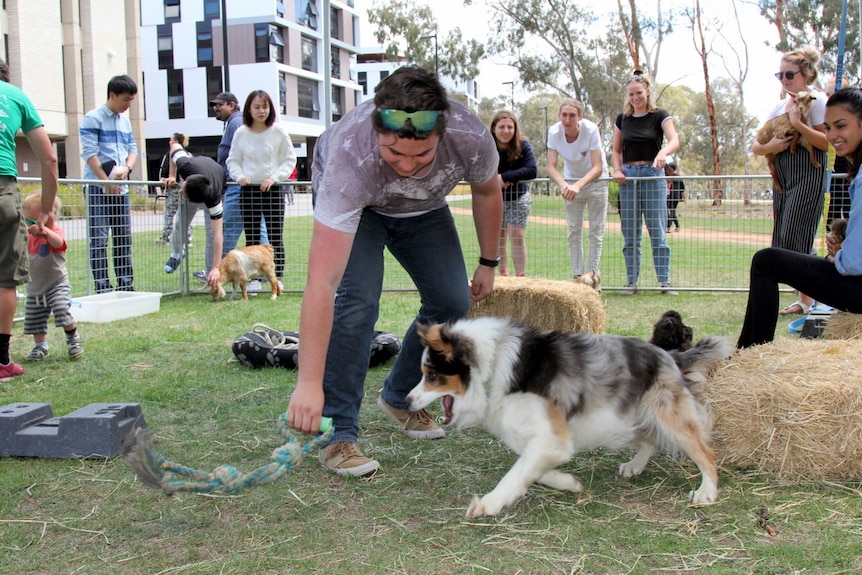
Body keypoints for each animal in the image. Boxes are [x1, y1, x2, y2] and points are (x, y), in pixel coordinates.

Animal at [408, 318, 732, 520]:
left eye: (432, 376)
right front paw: (569, 483)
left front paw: (489, 503)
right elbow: (530, 467)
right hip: (623, 417)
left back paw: (707, 492)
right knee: (650, 439)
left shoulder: (553, 438)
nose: (408, 401)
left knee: (705, 454)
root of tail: (671, 357)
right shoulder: (541, 438)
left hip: (666, 415)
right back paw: (635, 465)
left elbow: (517, 472)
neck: (494, 364)